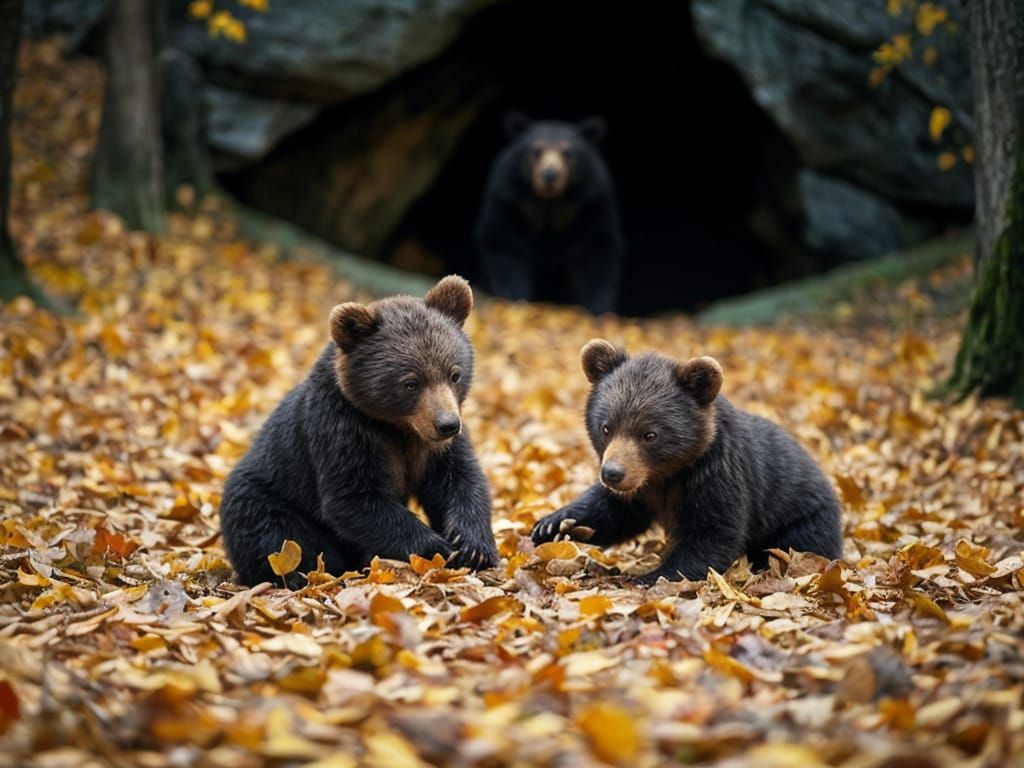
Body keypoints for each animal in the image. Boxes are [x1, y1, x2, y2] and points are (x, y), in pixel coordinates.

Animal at [219, 275, 499, 588]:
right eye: (410, 382)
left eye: (454, 374)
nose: (447, 424)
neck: (397, 427)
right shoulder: (343, 431)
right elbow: (354, 498)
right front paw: (439, 548)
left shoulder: (435, 447)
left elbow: (460, 479)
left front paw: (473, 547)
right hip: (267, 500)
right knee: (288, 542)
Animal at [474, 112, 625, 315]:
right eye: (536, 151)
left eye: (568, 152)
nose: (550, 175)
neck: (549, 204)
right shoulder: (509, 201)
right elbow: (506, 244)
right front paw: (515, 299)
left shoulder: (591, 204)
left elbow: (595, 250)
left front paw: (598, 308)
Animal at [531, 340, 843, 584]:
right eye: (606, 427)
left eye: (650, 434)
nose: (612, 474)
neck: (669, 471)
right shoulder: (641, 490)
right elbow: (614, 512)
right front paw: (551, 525)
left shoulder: (718, 476)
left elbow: (712, 533)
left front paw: (652, 576)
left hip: (802, 519)